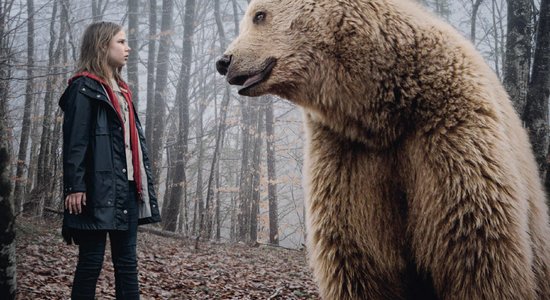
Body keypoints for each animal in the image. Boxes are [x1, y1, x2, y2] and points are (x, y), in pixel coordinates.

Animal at [216, 0, 550, 298]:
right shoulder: (348, 154)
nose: (224, 61)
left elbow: (476, 246)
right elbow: (361, 257)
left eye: (259, 15)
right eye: (250, 16)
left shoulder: (450, 131)